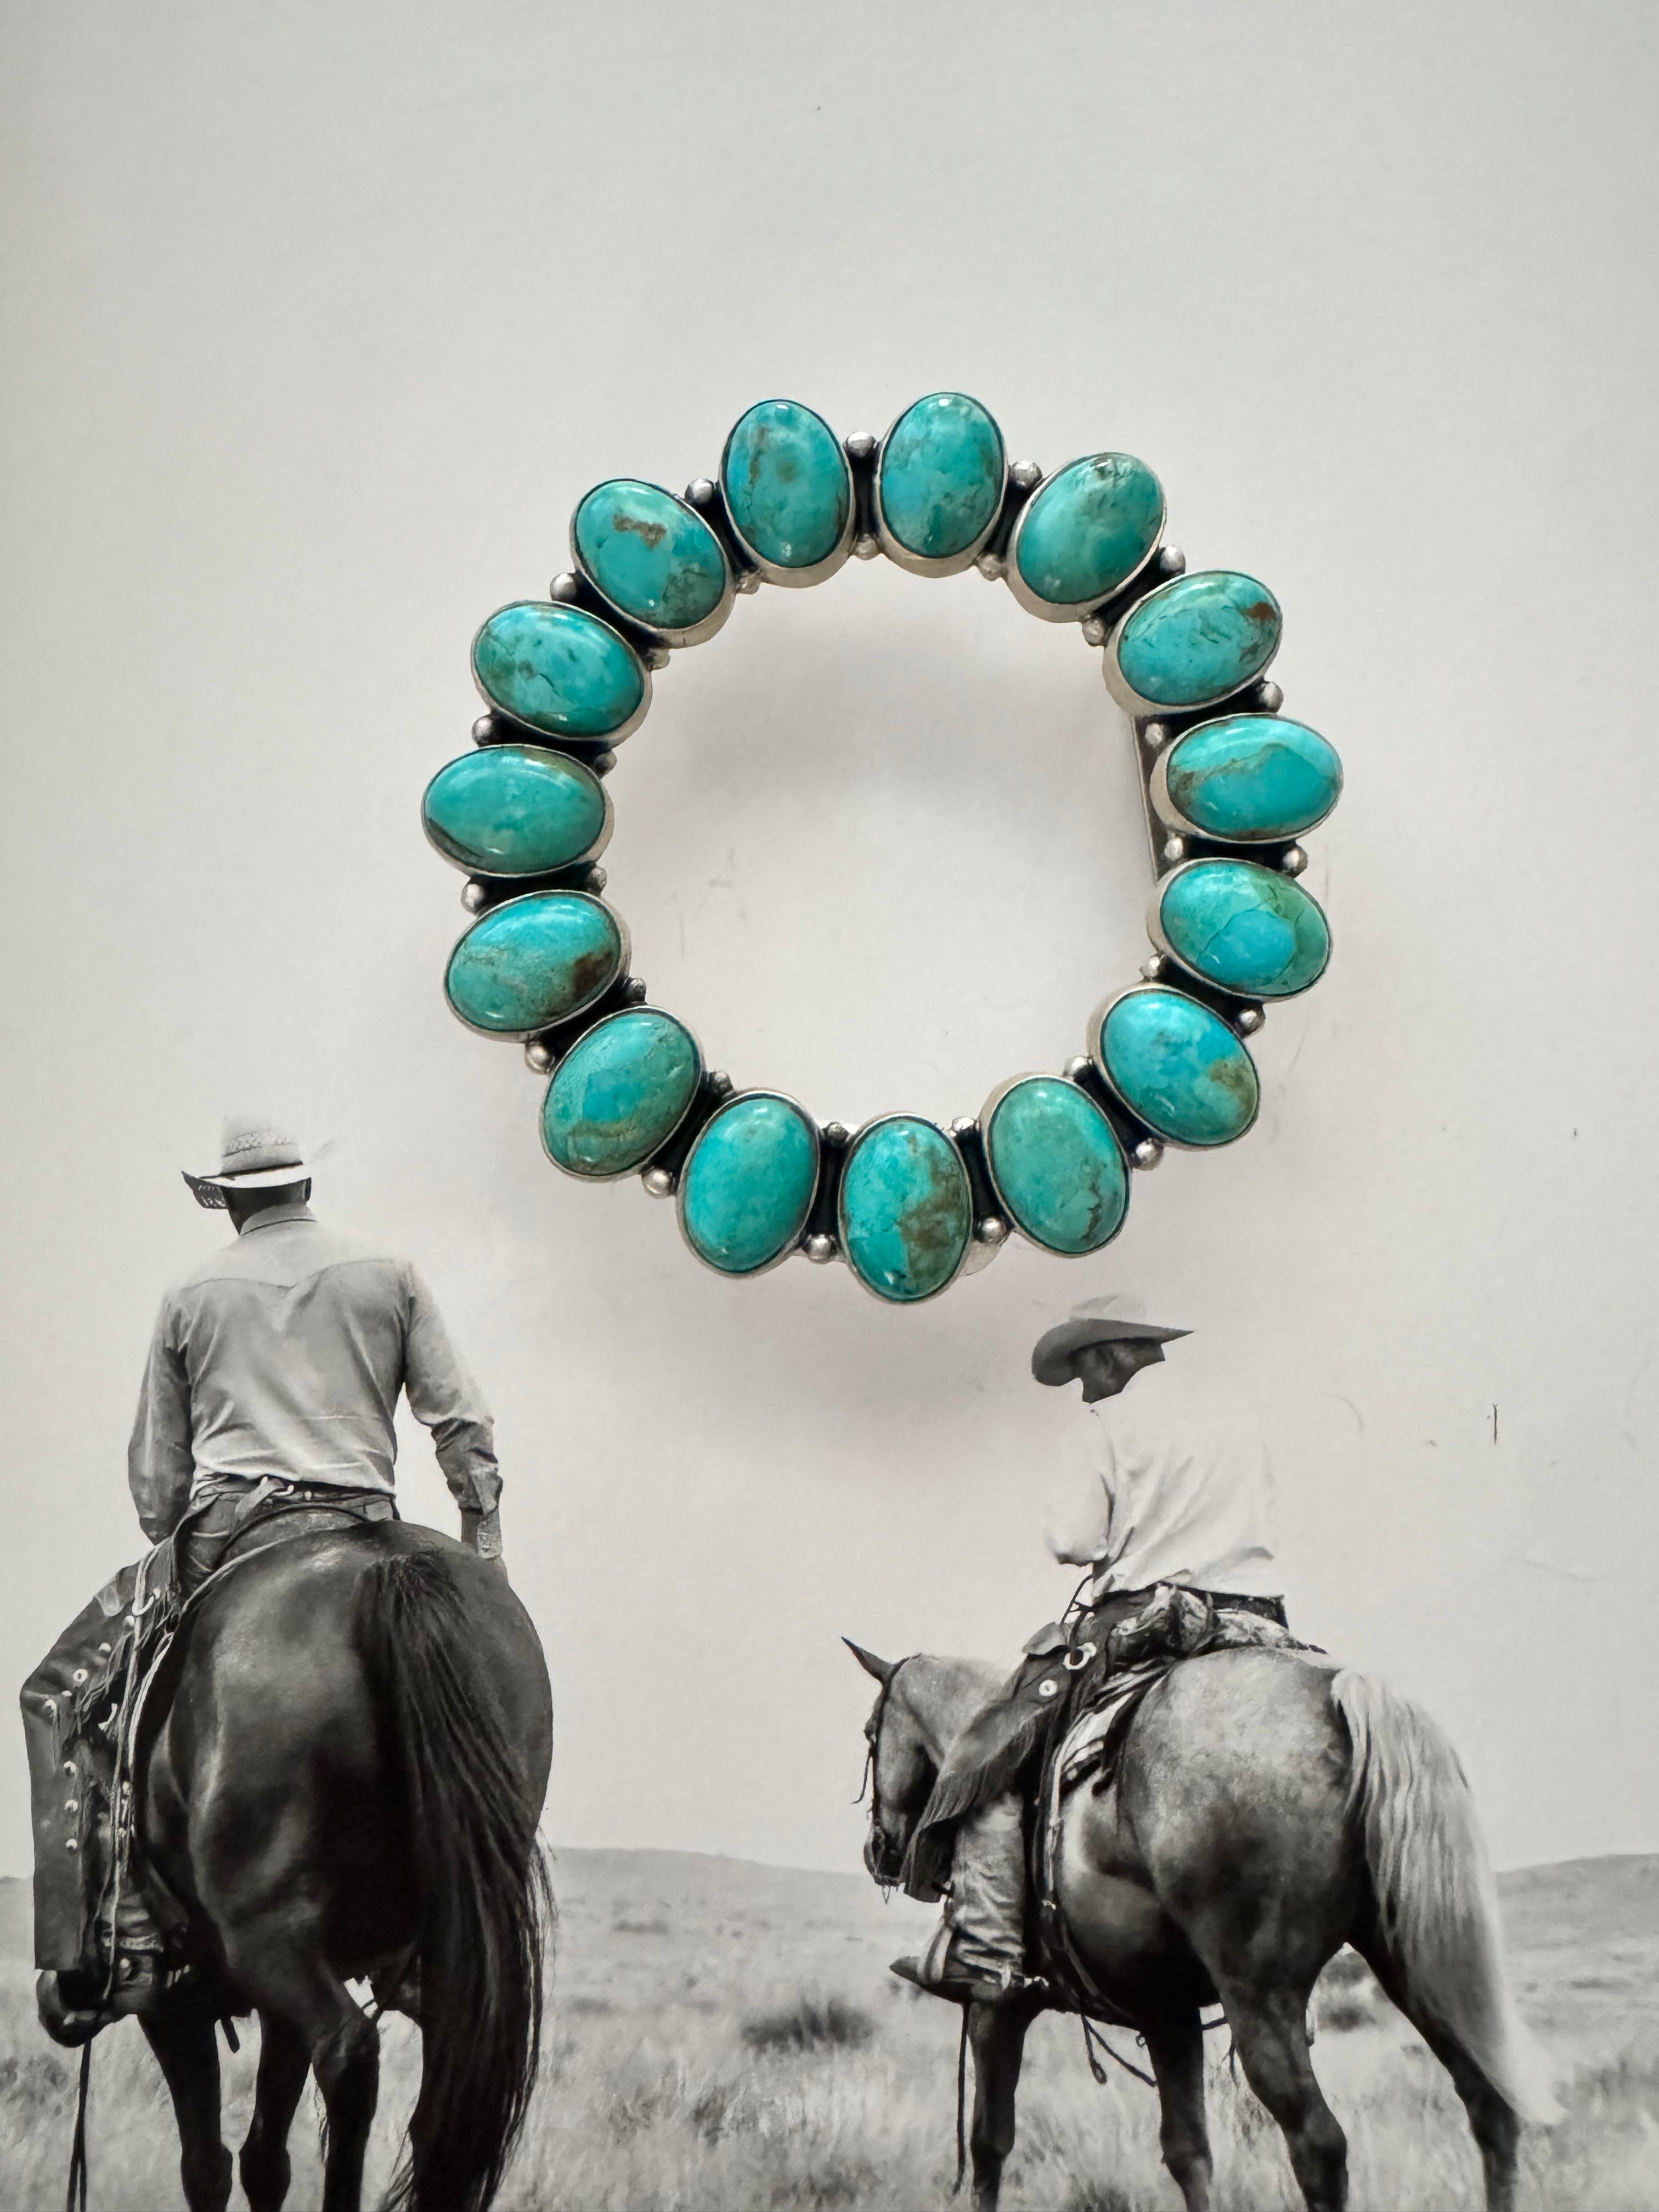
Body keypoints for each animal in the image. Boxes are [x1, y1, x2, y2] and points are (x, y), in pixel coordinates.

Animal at [125, 1517, 553, 2212]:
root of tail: (391, 1565)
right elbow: (263, 2158)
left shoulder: (172, 1999)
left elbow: (207, 2164)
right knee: (443, 2102)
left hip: (268, 1938)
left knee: (349, 2053)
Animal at [850, 1641, 1557, 2212]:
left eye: (871, 1734)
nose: (879, 1849)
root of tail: (1338, 1694)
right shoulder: (1168, 2012)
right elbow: (1189, 2153)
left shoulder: (997, 2006)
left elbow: (990, 2144)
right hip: (1416, 1967)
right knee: (1490, 2105)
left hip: (1260, 1997)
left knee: (1320, 2145)